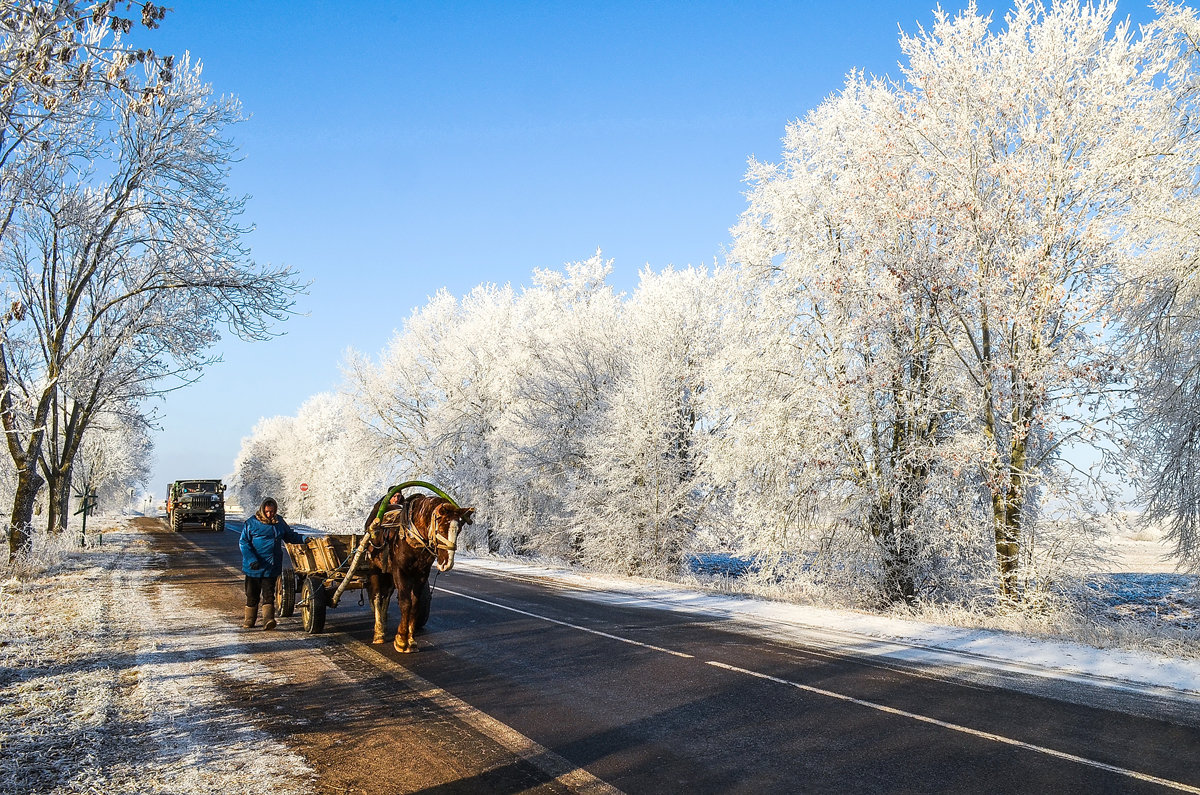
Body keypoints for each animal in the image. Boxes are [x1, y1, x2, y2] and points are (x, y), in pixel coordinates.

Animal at [360, 492, 472, 653]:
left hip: (388, 573)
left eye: (459, 530)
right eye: (441, 529)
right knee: (376, 596)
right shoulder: (400, 571)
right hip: (375, 568)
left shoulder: (421, 574)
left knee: (386, 595)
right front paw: (401, 640)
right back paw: (379, 632)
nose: (447, 563)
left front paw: (411, 641)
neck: (413, 538)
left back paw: (384, 624)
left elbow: (415, 604)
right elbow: (405, 602)